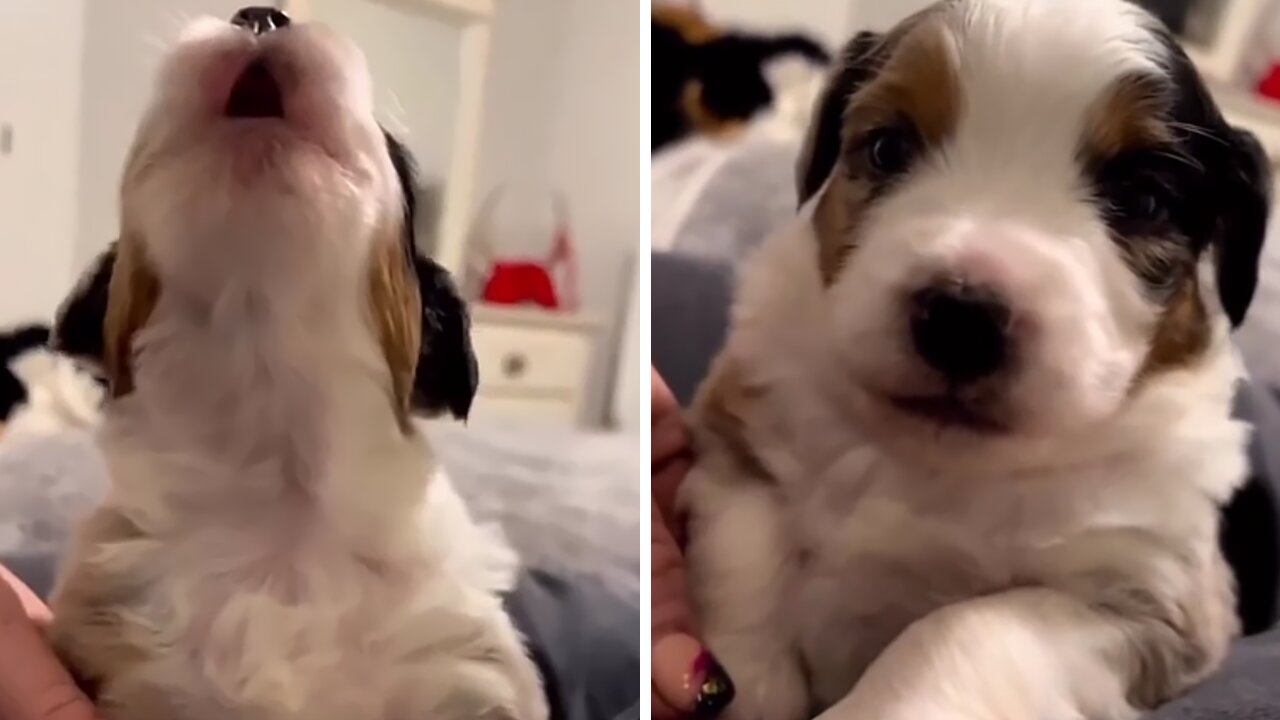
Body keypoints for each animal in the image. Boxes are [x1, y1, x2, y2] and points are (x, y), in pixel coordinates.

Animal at [680, 1, 1269, 717]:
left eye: (1142, 199)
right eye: (888, 147)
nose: (960, 319)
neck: (941, 462)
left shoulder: (1151, 597)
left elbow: (972, 627)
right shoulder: (740, 431)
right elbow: (745, 558)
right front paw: (754, 683)